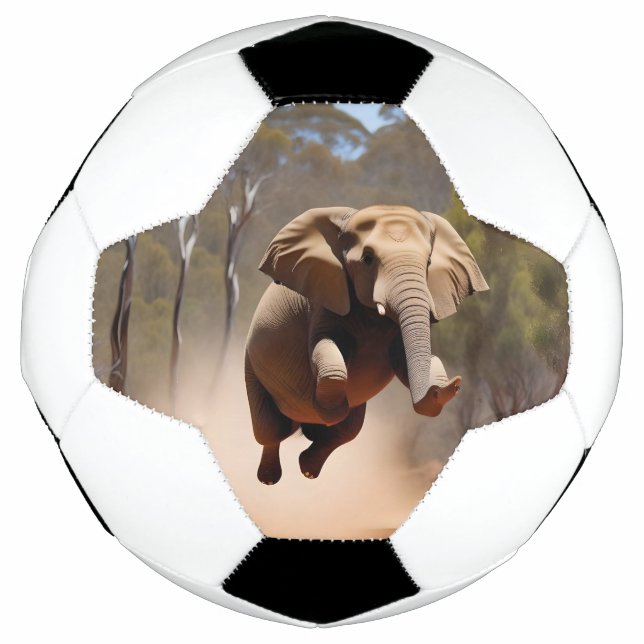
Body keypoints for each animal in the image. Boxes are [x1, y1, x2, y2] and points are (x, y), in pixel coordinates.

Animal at [244, 205, 489, 484]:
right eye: (367, 259)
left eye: (428, 262)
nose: (455, 383)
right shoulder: (325, 297)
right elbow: (325, 350)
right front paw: (329, 410)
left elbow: (402, 362)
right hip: (252, 365)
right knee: (271, 429)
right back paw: (270, 477)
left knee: (349, 430)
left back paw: (308, 466)